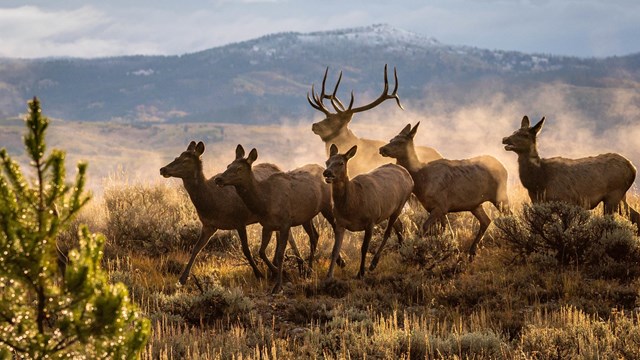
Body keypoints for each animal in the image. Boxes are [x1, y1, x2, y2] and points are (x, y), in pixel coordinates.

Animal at [214, 145, 338, 294]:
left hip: (327, 206)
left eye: (239, 168)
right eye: (228, 165)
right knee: (314, 235)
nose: (218, 179)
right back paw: (308, 270)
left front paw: (278, 285)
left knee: (335, 228)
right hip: (306, 216)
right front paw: (280, 272)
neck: (264, 203)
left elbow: (280, 255)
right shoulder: (267, 225)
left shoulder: (285, 223)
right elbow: (261, 251)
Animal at [324, 143, 416, 278]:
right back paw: (403, 252)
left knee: (388, 232)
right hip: (390, 209)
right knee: (399, 226)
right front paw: (329, 276)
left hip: (401, 203)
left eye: (341, 163)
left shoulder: (371, 220)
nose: (327, 172)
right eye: (327, 162)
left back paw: (374, 263)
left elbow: (364, 248)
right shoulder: (340, 222)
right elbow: (335, 249)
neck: (352, 205)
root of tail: (407, 174)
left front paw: (361, 273)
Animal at [380, 123, 510, 256]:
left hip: (500, 196)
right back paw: (472, 252)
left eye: (400, 141)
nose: (382, 149)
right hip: (475, 205)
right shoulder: (440, 208)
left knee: (509, 216)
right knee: (486, 221)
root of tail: (504, 168)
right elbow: (446, 232)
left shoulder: (440, 205)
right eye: (391, 139)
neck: (421, 179)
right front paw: (450, 250)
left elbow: (424, 229)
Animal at [502, 116, 636, 232]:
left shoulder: (566, 200)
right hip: (621, 197)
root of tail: (633, 168)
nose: (505, 139)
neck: (539, 181)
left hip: (614, 194)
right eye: (514, 131)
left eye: (525, 135)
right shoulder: (537, 201)